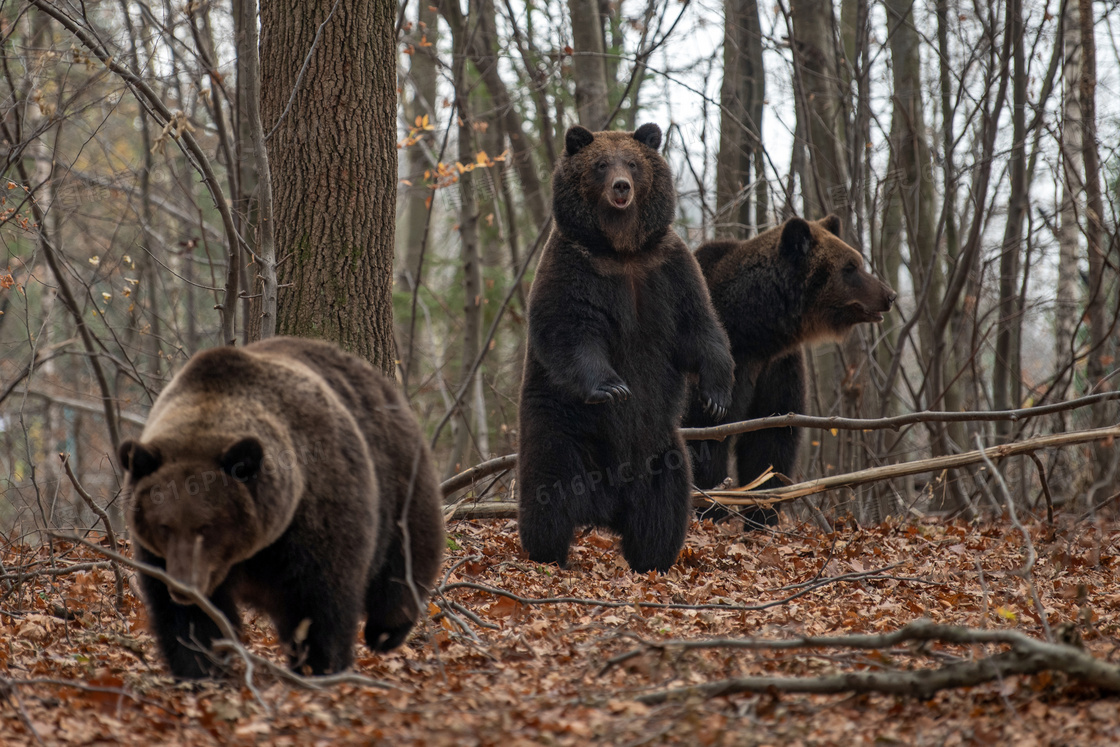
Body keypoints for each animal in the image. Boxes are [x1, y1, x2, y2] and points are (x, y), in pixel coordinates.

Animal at [117, 338, 441, 676]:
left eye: (206, 526)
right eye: (164, 526)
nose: (184, 588)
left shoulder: (315, 516)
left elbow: (319, 603)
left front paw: (319, 665)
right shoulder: (160, 557)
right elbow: (187, 620)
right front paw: (200, 667)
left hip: (397, 476)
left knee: (407, 555)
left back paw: (386, 632)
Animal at [517, 125, 734, 577]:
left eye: (632, 163)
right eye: (601, 164)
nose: (621, 186)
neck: (621, 250)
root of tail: (604, 510)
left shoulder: (668, 269)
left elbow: (700, 327)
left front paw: (717, 396)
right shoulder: (574, 266)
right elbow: (569, 329)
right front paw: (612, 387)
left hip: (661, 450)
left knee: (665, 506)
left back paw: (653, 561)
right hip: (560, 429)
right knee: (548, 491)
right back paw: (548, 554)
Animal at [676, 212, 896, 526]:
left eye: (858, 262)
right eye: (850, 267)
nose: (889, 295)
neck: (755, 329)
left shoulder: (776, 368)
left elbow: (772, 439)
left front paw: (763, 513)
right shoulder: (723, 363)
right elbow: (706, 437)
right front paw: (712, 509)